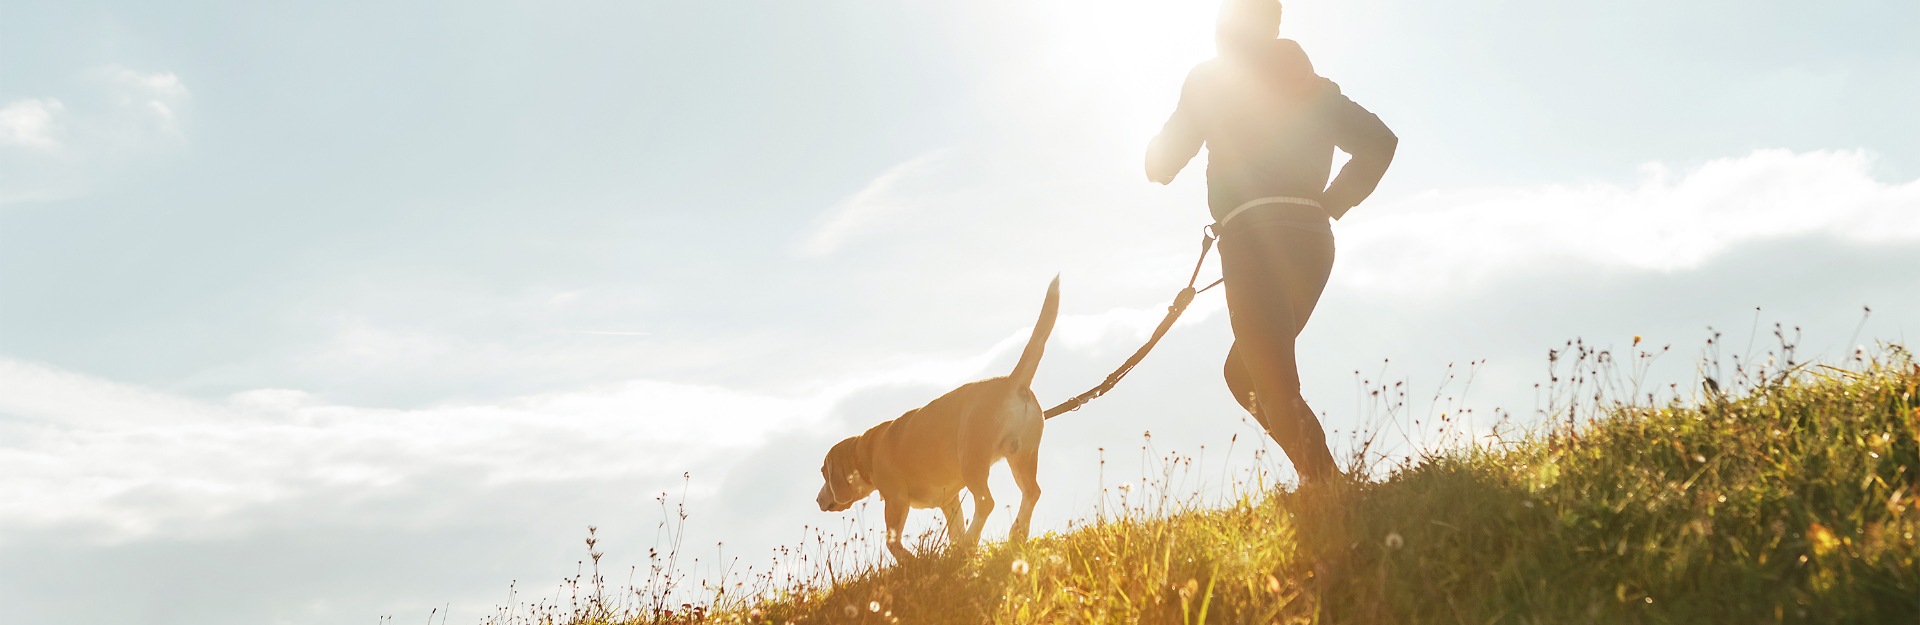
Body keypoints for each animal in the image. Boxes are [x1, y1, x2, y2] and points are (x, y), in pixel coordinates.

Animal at [817, 277, 1067, 559]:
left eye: (824, 474)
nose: (818, 499)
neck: (865, 451)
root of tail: (1013, 382)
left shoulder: (895, 499)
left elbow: (892, 542)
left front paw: (911, 561)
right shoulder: (950, 501)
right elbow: (954, 529)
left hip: (972, 459)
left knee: (986, 502)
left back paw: (972, 541)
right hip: (1023, 456)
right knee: (1031, 492)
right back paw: (1016, 534)